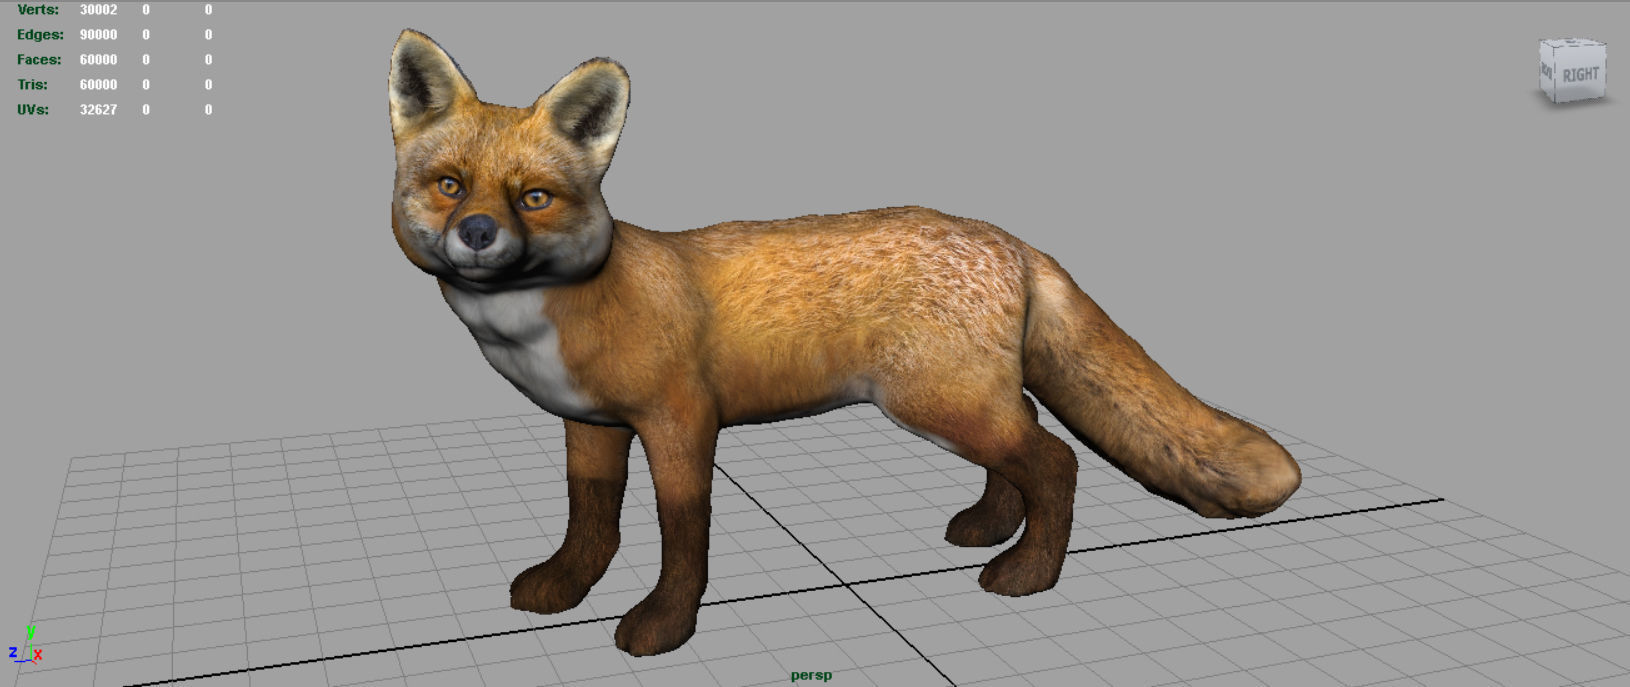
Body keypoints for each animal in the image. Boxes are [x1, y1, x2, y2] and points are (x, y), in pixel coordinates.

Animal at [387, 29, 1301, 656]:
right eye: (449, 185)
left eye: (534, 197)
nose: (476, 233)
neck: (560, 309)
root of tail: (1007, 237)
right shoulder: (592, 424)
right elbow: (591, 521)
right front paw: (567, 585)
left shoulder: (681, 421)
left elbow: (683, 533)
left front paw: (663, 623)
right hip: (961, 403)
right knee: (1031, 439)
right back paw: (989, 525)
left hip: (939, 402)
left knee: (1056, 459)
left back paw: (1028, 572)